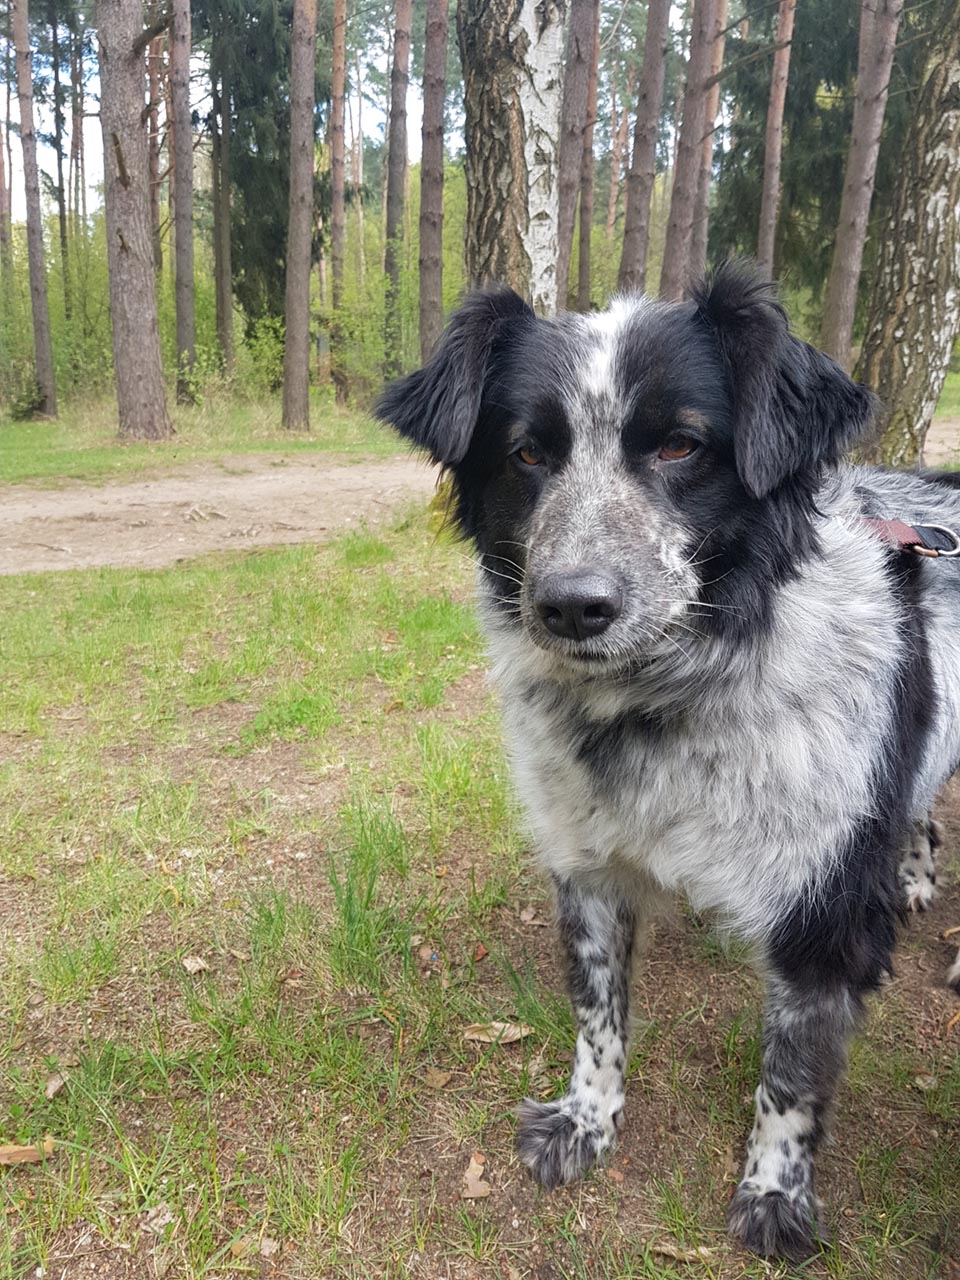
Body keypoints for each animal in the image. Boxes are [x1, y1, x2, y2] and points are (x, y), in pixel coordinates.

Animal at [376, 263, 960, 1259]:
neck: (664, 705)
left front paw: (774, 1193)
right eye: (526, 454)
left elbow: (791, 1077)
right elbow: (597, 1015)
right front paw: (586, 1120)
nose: (572, 606)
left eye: (682, 445)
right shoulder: (589, 868)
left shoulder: (825, 914)